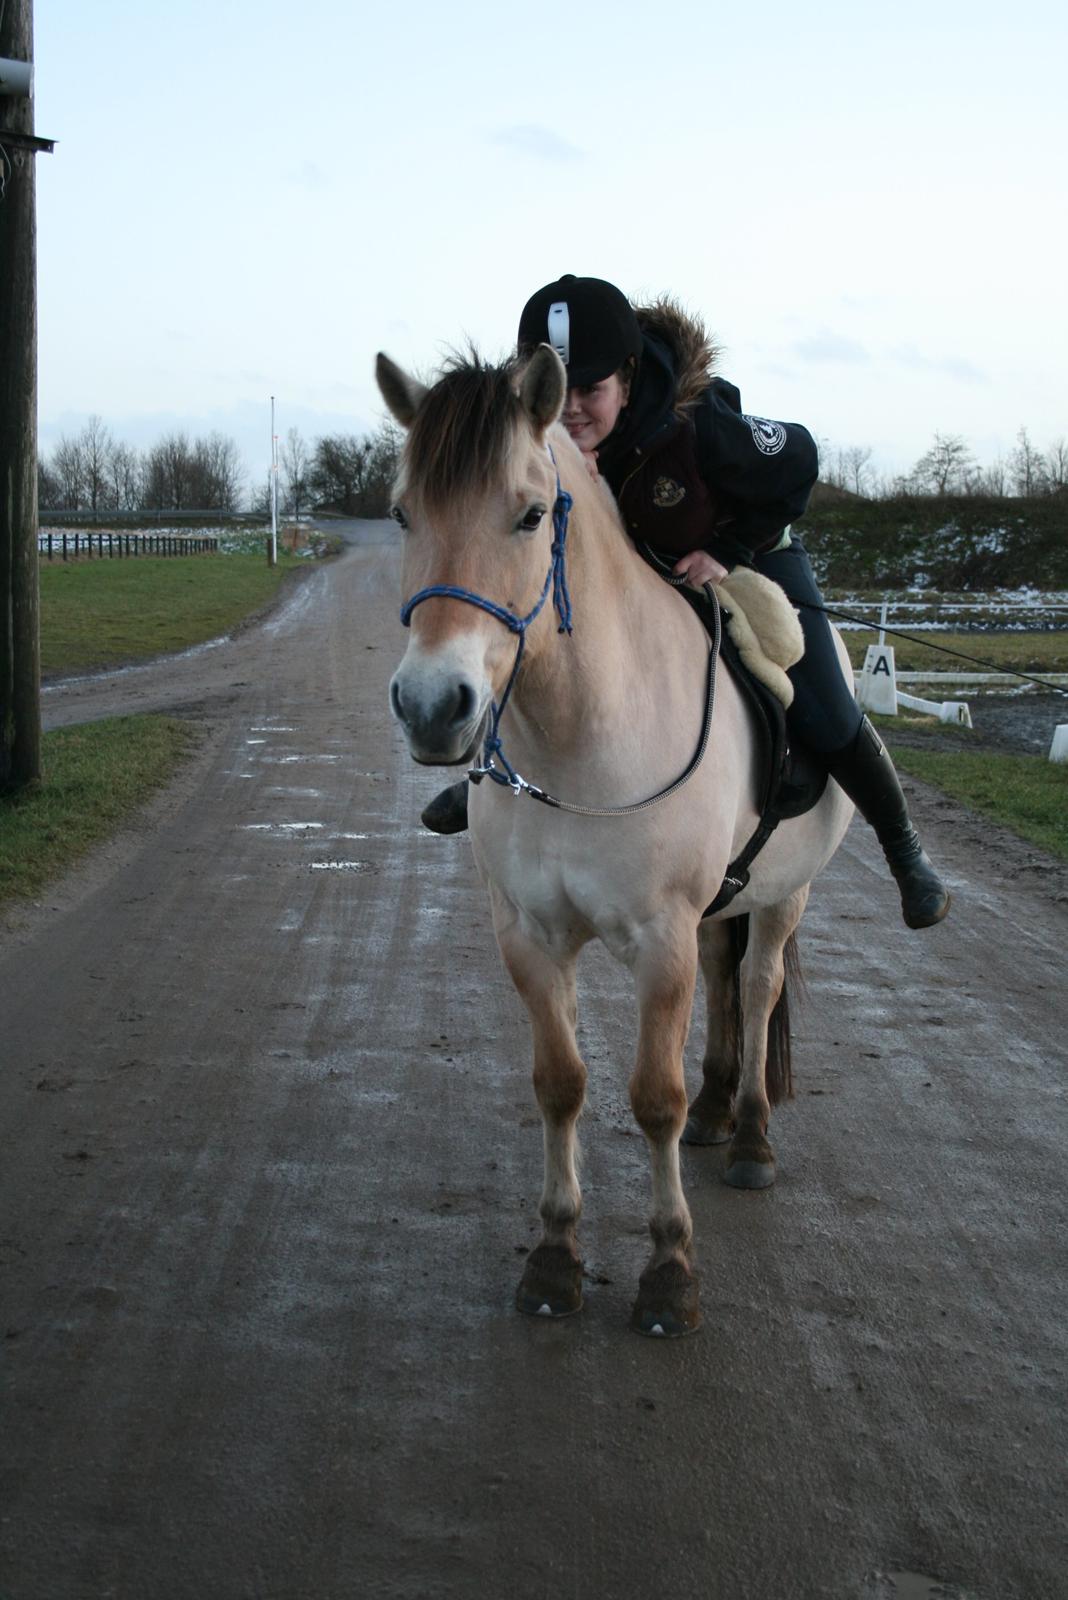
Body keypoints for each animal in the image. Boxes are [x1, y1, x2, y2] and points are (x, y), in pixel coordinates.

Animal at [375, 344, 850, 1331]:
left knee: (755, 988)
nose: (433, 708)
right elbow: (561, 1083)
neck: (581, 735)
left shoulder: (660, 941)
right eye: (403, 512)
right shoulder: (529, 936)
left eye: (528, 514)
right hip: (724, 905)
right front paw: (555, 1255)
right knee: (727, 979)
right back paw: (718, 1109)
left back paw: (749, 1135)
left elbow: (652, 1097)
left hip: (785, 897)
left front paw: (670, 1268)